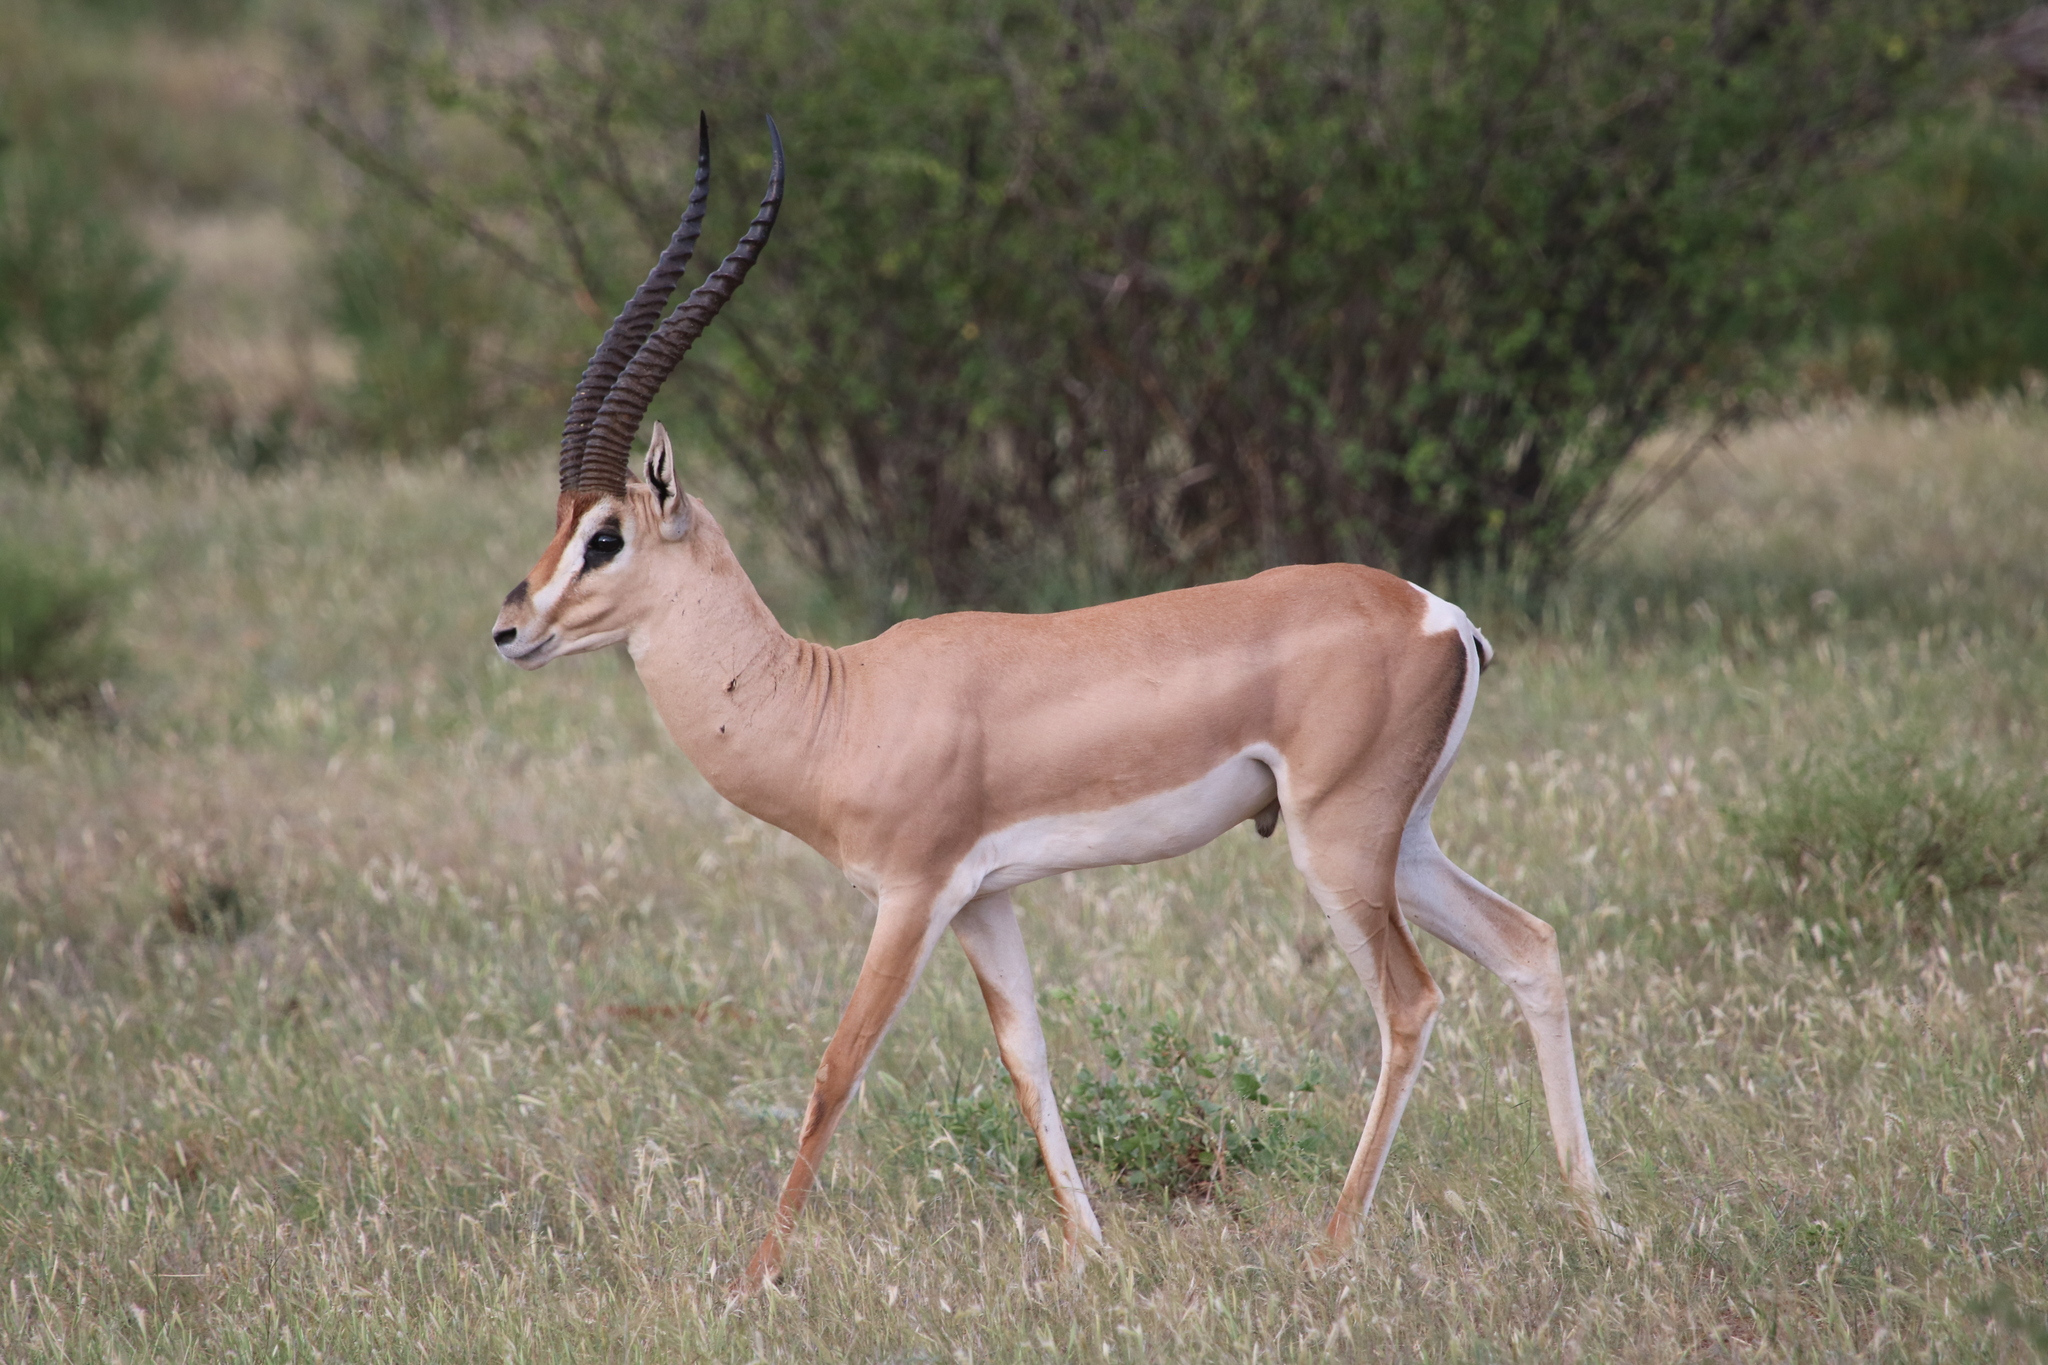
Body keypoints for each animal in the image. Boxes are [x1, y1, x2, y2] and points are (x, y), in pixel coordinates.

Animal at [491, 116, 1612, 1299]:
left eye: (605, 534)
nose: (510, 629)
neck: (838, 702)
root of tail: (1438, 613)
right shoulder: (985, 901)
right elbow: (1024, 1057)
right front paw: (1094, 1252)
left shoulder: (911, 896)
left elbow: (836, 1070)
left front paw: (753, 1277)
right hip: (1403, 841)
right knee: (1529, 942)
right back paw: (1595, 1220)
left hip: (1339, 848)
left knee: (1409, 1002)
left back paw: (1330, 1245)